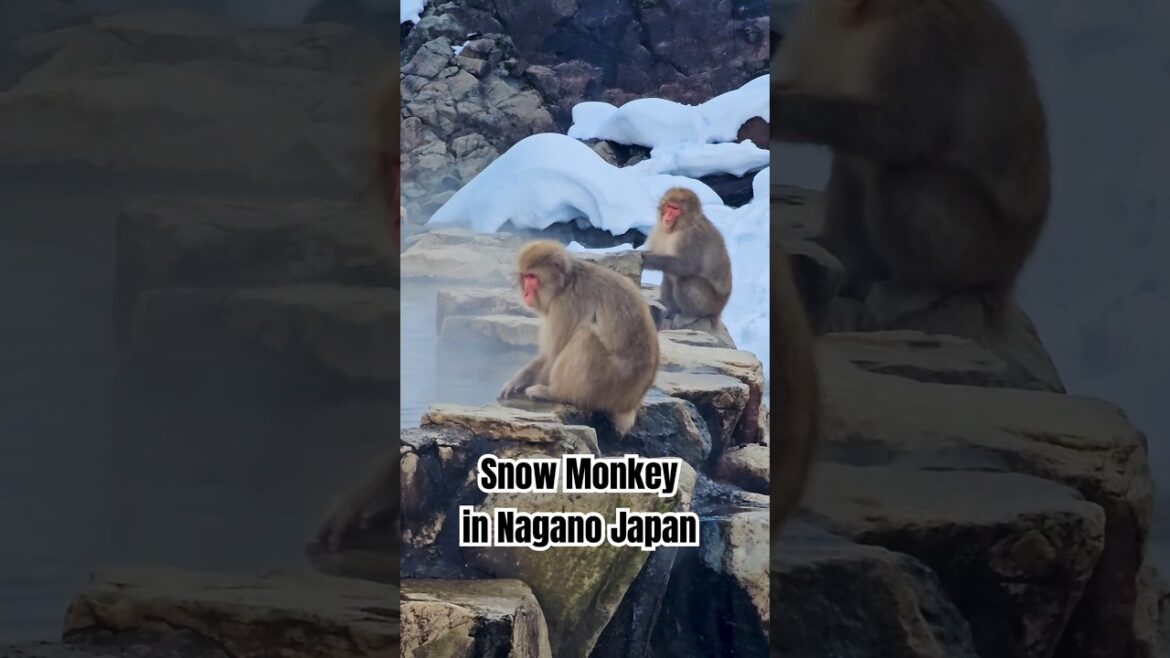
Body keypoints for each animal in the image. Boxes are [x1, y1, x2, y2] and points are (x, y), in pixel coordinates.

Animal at [499, 240, 659, 435]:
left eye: (532, 277)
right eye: (525, 277)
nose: (525, 294)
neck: (565, 284)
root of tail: (630, 404)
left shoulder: (565, 306)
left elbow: (554, 354)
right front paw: (517, 380)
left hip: (612, 384)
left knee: (586, 335)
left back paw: (556, 393)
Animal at [642, 187, 733, 327]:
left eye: (675, 209)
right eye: (668, 206)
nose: (667, 216)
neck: (678, 228)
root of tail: (719, 310)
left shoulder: (693, 237)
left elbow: (685, 266)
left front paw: (646, 259)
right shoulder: (658, 232)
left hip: (710, 303)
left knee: (685, 280)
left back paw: (691, 315)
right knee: (668, 276)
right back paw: (669, 308)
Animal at [772, 0, 1050, 326]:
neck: (865, 13)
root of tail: (1014, 269)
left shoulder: (925, 36)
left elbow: (904, 131)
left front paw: (777, 110)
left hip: (986, 247)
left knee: (899, 176)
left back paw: (918, 286)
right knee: (850, 164)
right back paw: (846, 263)